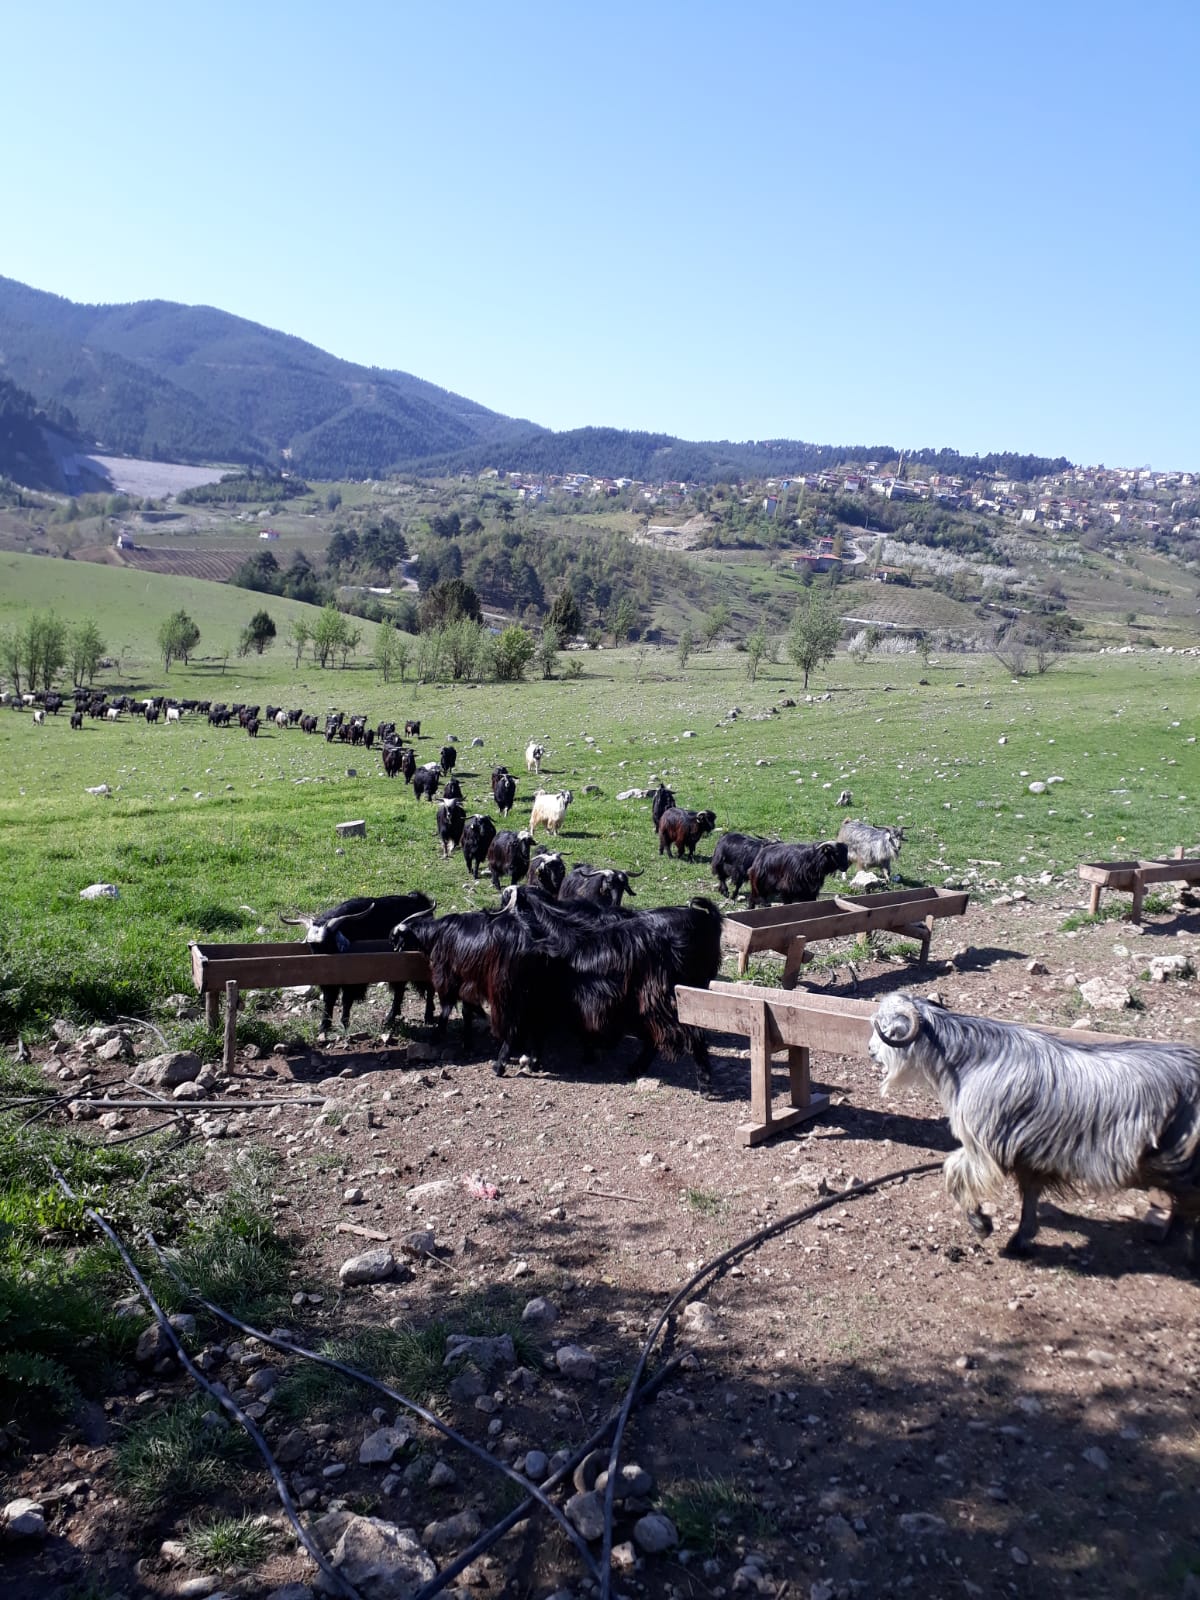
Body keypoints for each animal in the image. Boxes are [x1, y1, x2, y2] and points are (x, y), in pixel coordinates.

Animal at [870, 985, 1200, 1260]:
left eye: (884, 1025)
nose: (871, 1050)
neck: (970, 1062)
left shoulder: (986, 1148)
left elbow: (954, 1171)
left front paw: (982, 1224)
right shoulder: (1030, 1155)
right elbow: (1029, 1195)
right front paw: (1020, 1239)